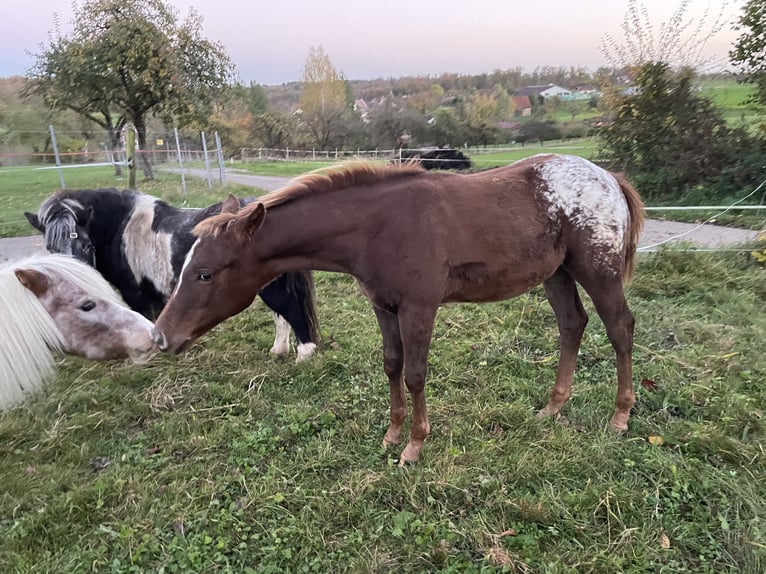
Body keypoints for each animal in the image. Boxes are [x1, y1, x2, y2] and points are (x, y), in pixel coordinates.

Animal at [26, 189, 320, 362]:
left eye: (86, 246)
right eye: (50, 249)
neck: (122, 229)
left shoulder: (136, 292)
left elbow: (145, 319)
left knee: (289, 309)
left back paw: (304, 354)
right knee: (281, 314)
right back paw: (279, 350)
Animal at [153, 154, 644, 468]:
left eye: (205, 274)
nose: (161, 336)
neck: (377, 226)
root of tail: (608, 177)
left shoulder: (418, 307)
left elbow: (415, 373)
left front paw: (414, 447)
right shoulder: (383, 306)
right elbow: (391, 364)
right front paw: (391, 435)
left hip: (597, 271)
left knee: (620, 328)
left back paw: (620, 416)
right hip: (556, 273)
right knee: (572, 325)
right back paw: (553, 408)